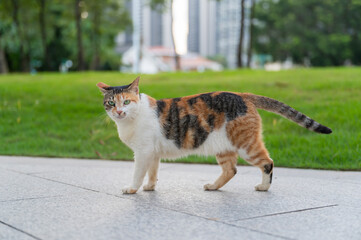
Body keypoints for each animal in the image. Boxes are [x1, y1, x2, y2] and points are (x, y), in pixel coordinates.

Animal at [96, 78, 332, 194]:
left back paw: (264, 187)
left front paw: (132, 188)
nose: (119, 111)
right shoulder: (153, 153)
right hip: (223, 147)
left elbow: (138, 173)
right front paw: (150, 187)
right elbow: (153, 172)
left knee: (268, 162)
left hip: (246, 145)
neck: (130, 120)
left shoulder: (143, 152)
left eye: (126, 101)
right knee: (231, 170)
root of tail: (242, 95)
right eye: (111, 102)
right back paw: (213, 187)